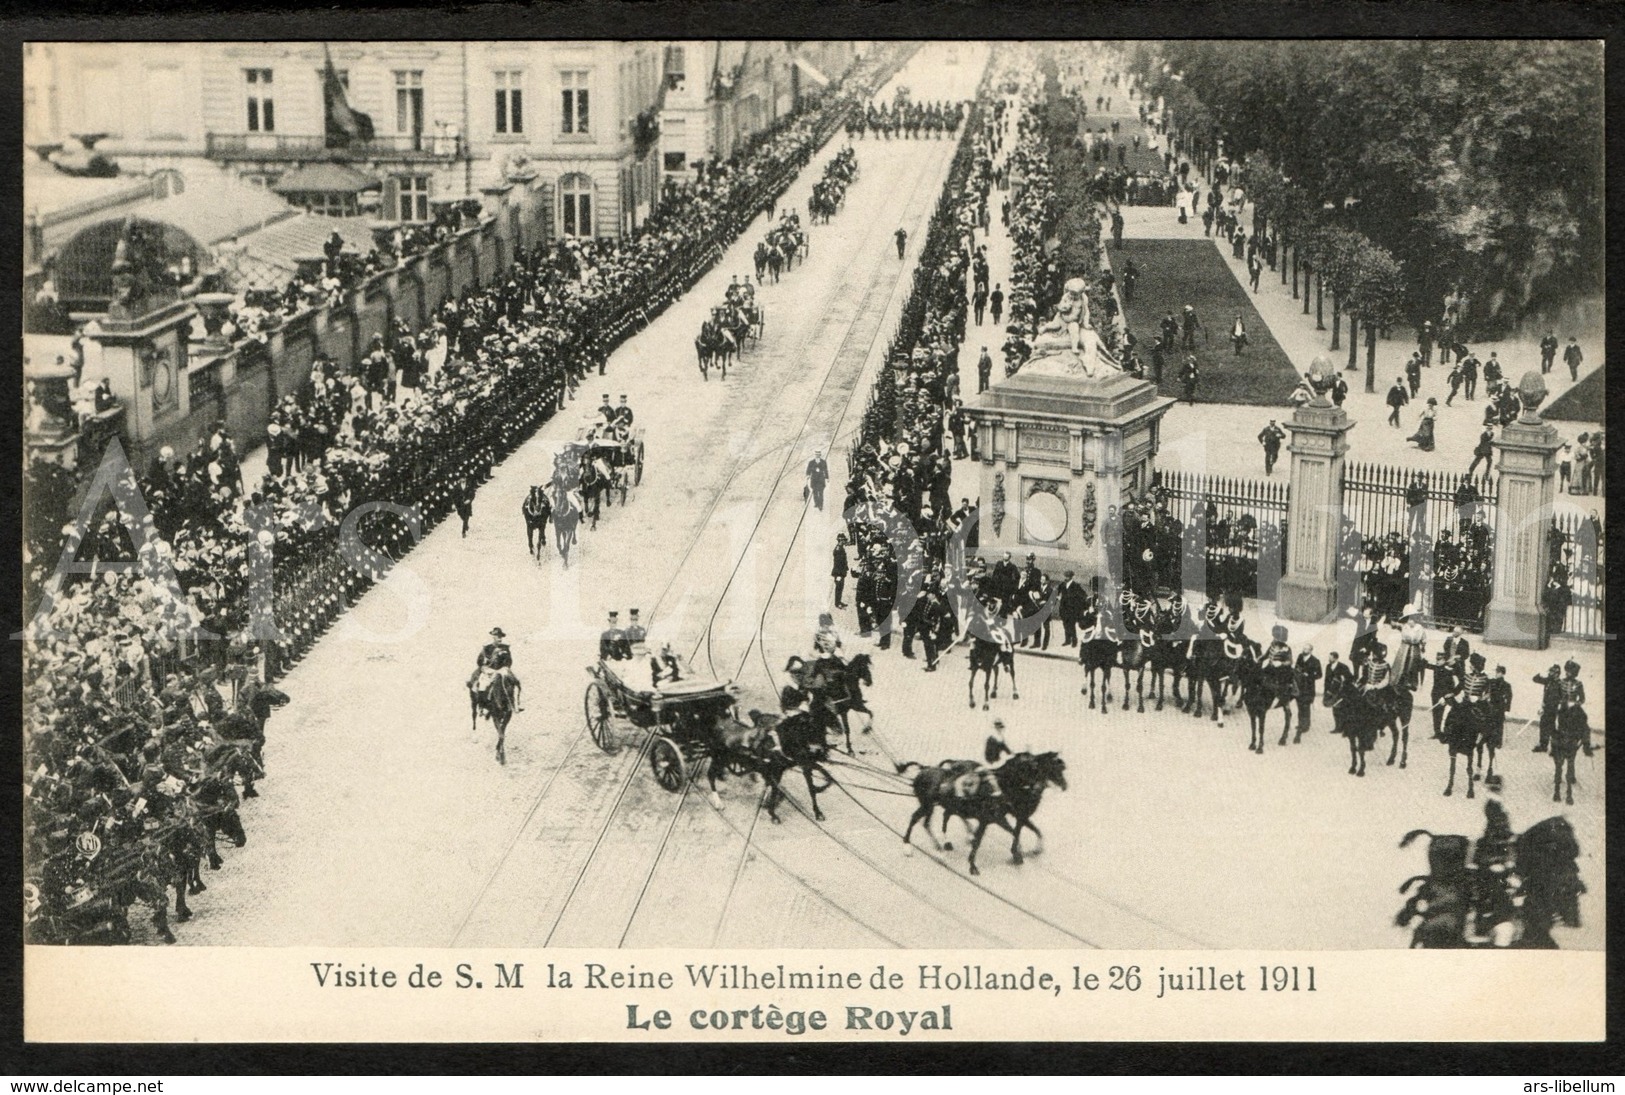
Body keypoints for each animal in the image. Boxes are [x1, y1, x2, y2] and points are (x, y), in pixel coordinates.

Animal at [897, 750, 1072, 870]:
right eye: (1034, 768)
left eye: (1061, 768)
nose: (1036, 788)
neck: (1000, 786)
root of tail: (923, 769)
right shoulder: (1002, 816)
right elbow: (1013, 833)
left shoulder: (1004, 817)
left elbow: (1022, 831)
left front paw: (1023, 852)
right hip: (927, 805)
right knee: (917, 819)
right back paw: (911, 847)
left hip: (937, 806)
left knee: (933, 820)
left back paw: (944, 844)